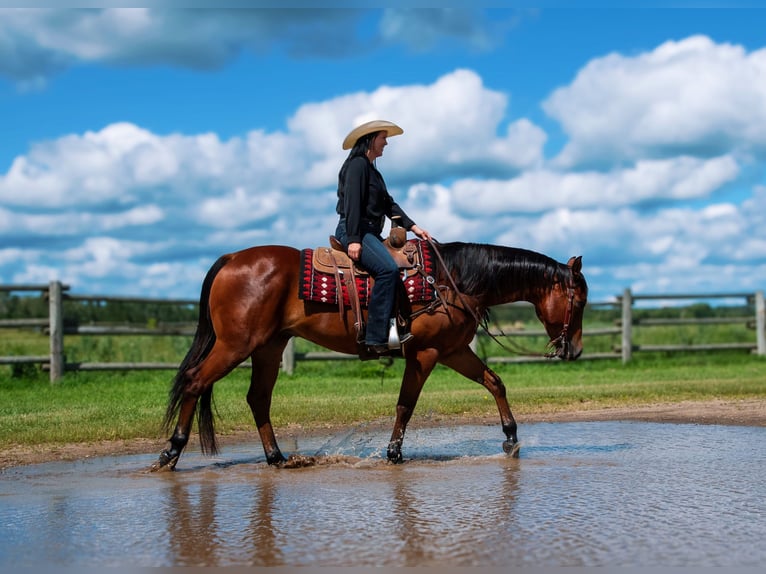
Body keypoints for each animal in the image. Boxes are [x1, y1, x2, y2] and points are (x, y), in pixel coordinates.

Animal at [150, 241, 588, 470]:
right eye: (579, 300)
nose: (575, 350)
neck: (453, 281)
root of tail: (231, 259)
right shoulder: (426, 354)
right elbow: (405, 405)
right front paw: (393, 453)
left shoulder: (453, 351)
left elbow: (495, 382)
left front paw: (511, 439)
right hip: (234, 346)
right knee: (195, 382)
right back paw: (170, 453)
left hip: (268, 348)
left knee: (257, 398)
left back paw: (277, 458)